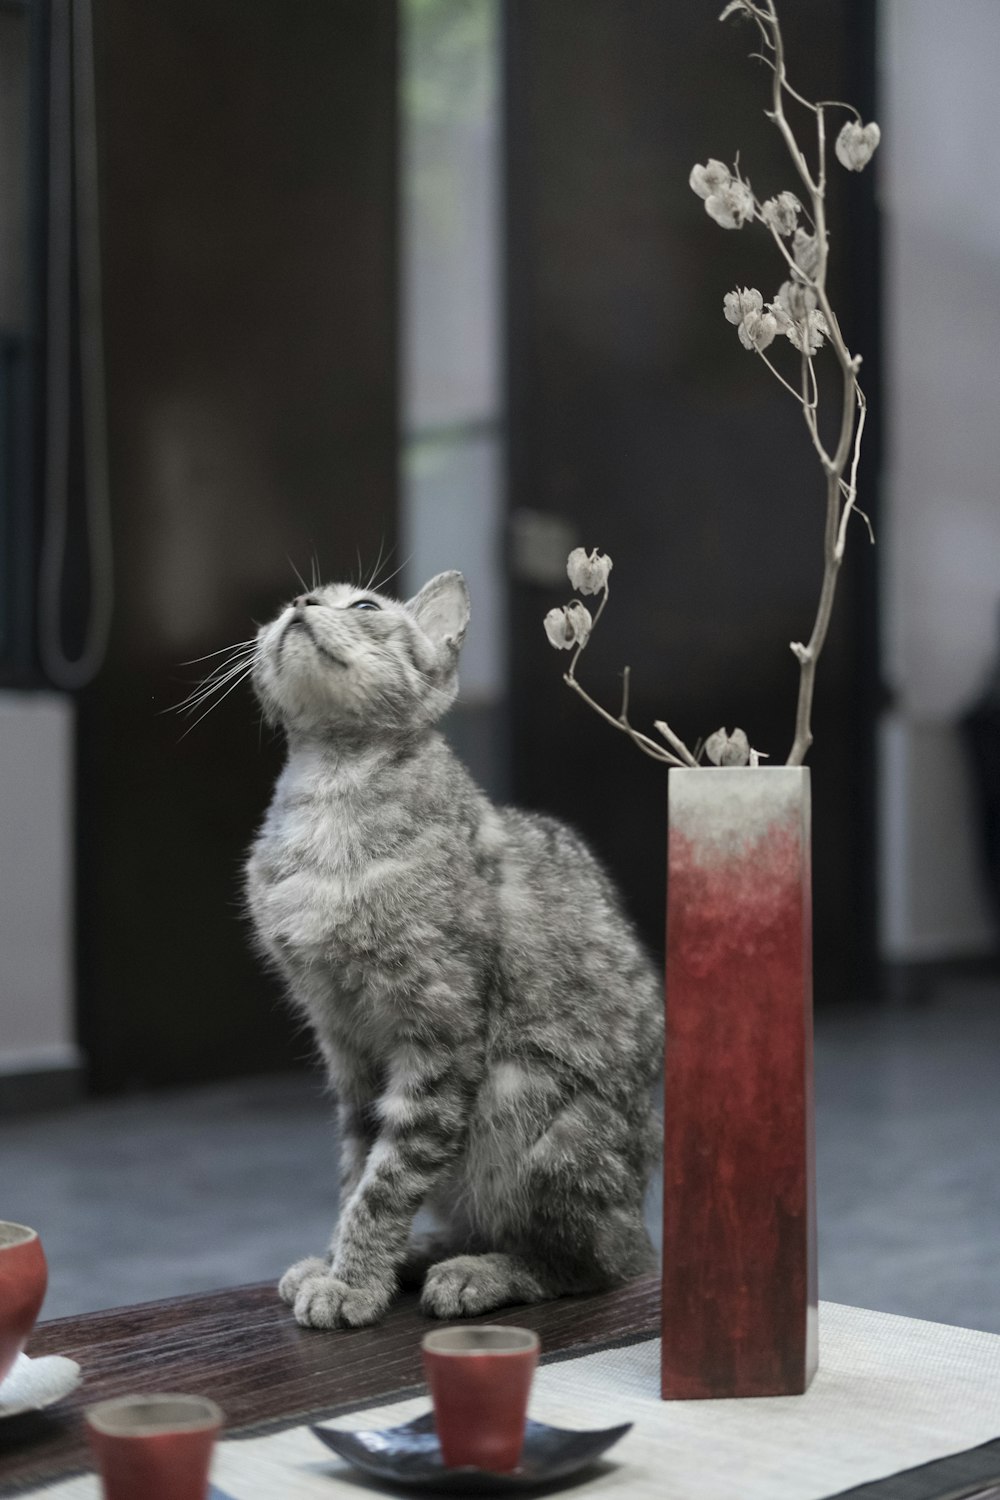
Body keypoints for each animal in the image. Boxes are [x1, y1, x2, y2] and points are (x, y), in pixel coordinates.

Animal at [244, 570, 665, 1326]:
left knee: (595, 1263)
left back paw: (482, 1273)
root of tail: (638, 1221)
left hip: (526, 1099)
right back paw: (425, 1254)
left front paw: (353, 1283)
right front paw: (342, 1261)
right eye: (282, 607)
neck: (329, 791)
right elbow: (357, 1167)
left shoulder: (439, 1036)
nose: (300, 605)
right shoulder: (345, 1045)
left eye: (364, 606)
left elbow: (389, 1177)